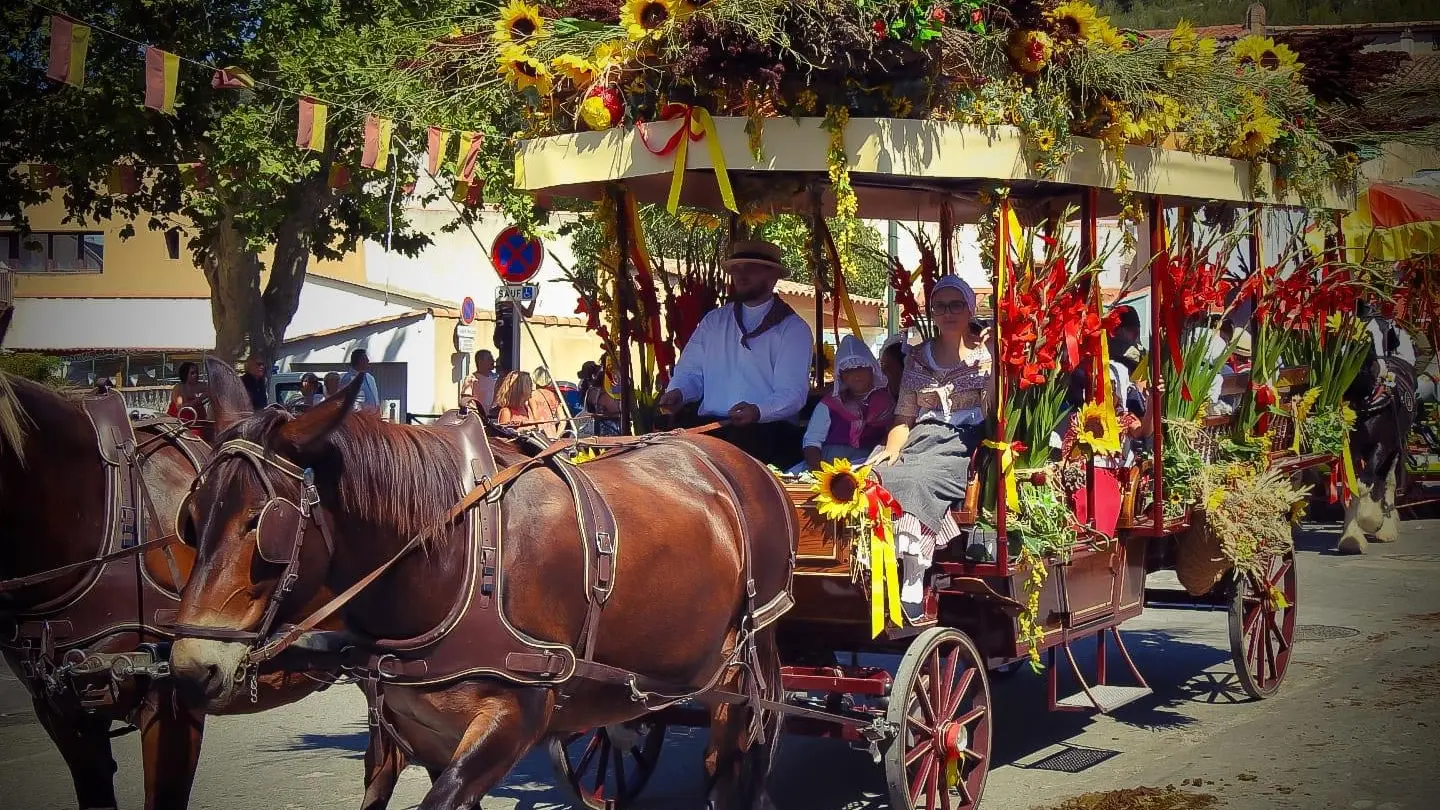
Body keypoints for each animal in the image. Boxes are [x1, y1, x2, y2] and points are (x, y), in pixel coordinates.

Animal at [169, 360, 800, 807]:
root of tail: (742, 462)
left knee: (736, 755)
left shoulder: (509, 721)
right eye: (191, 519)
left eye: (264, 525)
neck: (454, 557)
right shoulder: (417, 731)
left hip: (749, 652)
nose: (190, 669)